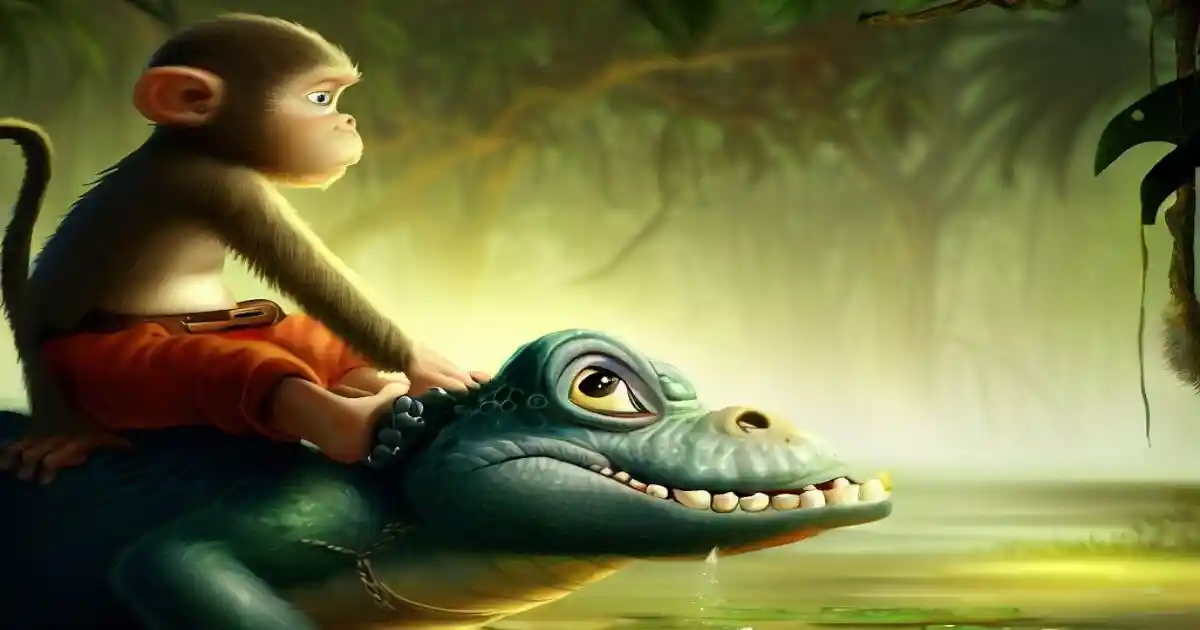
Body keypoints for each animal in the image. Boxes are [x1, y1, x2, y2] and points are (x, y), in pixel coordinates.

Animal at [0, 14, 489, 483]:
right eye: (321, 100)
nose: (348, 123)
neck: (195, 144)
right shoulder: (220, 185)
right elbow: (312, 279)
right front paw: (424, 362)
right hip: (113, 367)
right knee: (217, 369)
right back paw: (356, 423)